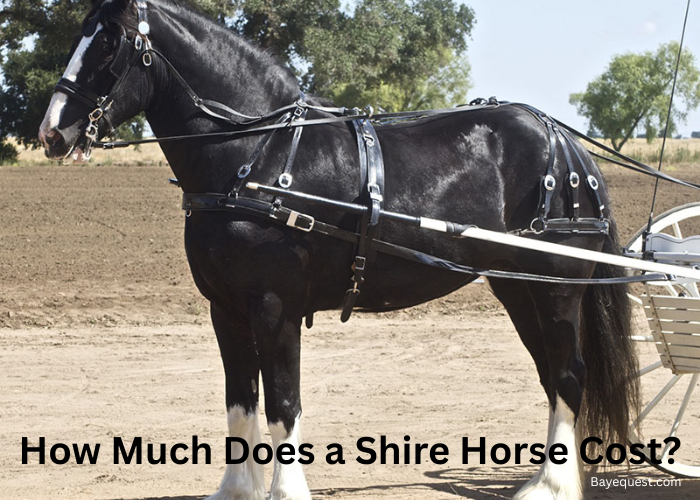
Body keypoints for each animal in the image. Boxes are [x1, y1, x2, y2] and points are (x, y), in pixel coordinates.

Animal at [39, 1, 639, 499]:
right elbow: (240, 402)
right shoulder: (225, 309)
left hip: (559, 287)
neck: (255, 155)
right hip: (518, 287)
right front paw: (238, 489)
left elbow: (283, 404)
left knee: (569, 374)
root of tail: (563, 141)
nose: (51, 134)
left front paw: (285, 492)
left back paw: (552, 486)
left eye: (108, 44)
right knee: (551, 374)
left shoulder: (274, 306)